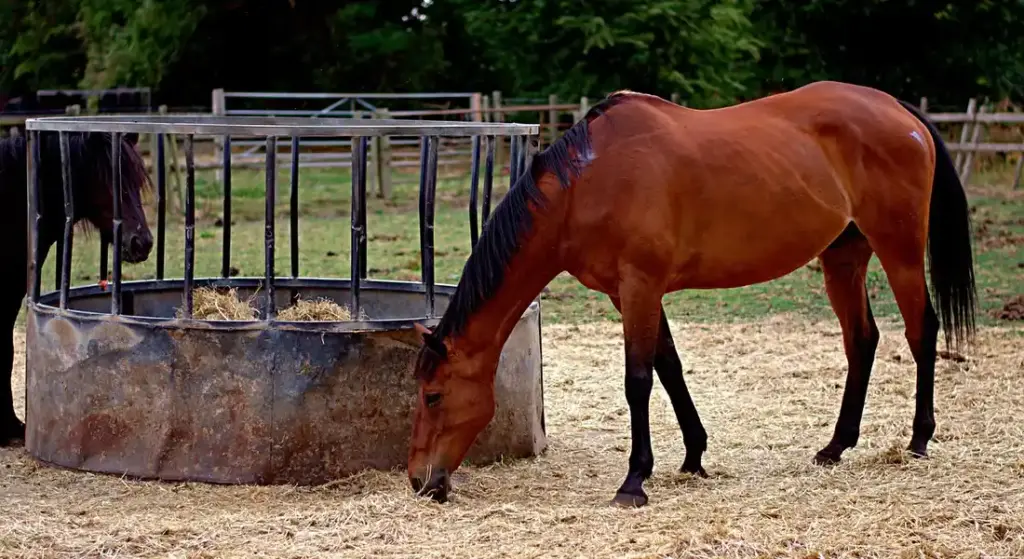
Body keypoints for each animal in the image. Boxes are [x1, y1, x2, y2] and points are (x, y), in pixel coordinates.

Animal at [406, 80, 977, 507]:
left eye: (433, 395)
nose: (420, 480)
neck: (586, 186)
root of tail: (898, 109)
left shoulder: (639, 285)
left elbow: (638, 379)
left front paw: (634, 482)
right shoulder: (629, 293)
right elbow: (669, 367)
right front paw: (693, 456)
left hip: (899, 250)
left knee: (921, 331)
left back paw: (919, 438)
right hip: (843, 257)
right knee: (861, 340)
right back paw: (835, 446)